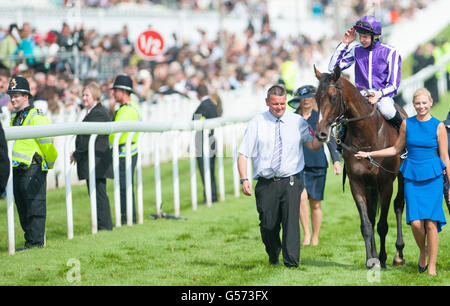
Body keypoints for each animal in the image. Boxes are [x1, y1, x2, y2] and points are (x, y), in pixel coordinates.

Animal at [312, 65, 408, 268]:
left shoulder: (386, 184)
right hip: (370, 186)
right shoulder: (357, 183)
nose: (321, 134)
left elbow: (382, 225)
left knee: (398, 205)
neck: (367, 136)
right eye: (316, 97)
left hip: (401, 177)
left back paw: (398, 255)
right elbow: (367, 224)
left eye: (333, 97)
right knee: (371, 215)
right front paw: (371, 259)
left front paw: (383, 258)